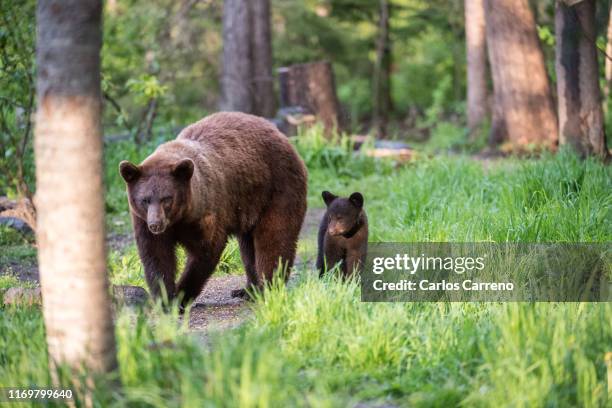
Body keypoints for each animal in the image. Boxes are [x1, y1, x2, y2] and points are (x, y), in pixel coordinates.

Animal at [119, 111, 308, 306]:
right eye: (145, 200)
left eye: (166, 199)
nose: (156, 224)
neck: (180, 218)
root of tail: (283, 136)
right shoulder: (144, 222)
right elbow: (156, 256)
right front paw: (165, 298)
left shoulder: (206, 212)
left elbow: (206, 250)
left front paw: (181, 296)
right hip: (249, 207)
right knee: (248, 248)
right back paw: (248, 289)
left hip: (277, 189)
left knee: (274, 238)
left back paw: (268, 288)